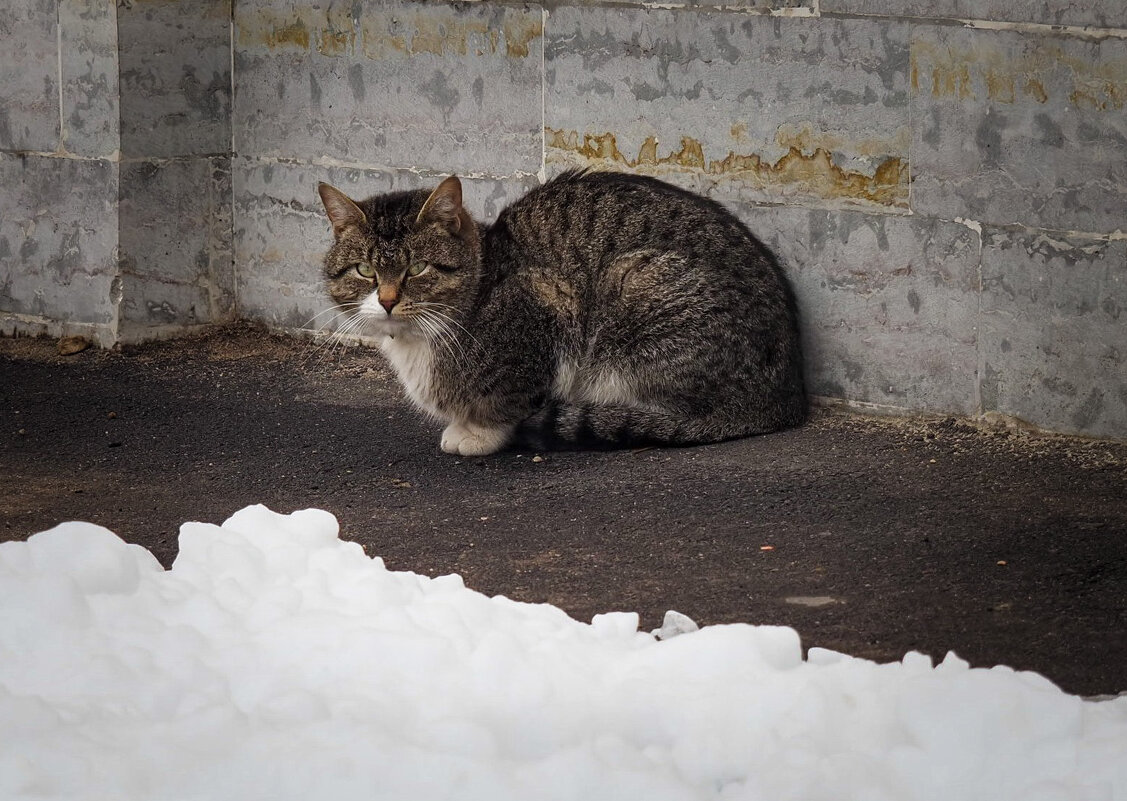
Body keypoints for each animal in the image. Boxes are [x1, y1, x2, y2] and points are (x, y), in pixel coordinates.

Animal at [317, 171, 806, 457]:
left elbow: (509, 400)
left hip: (632, 285)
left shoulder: (549, 305)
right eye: (364, 270)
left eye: (417, 267)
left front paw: (477, 433)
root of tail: (785, 397)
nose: (387, 300)